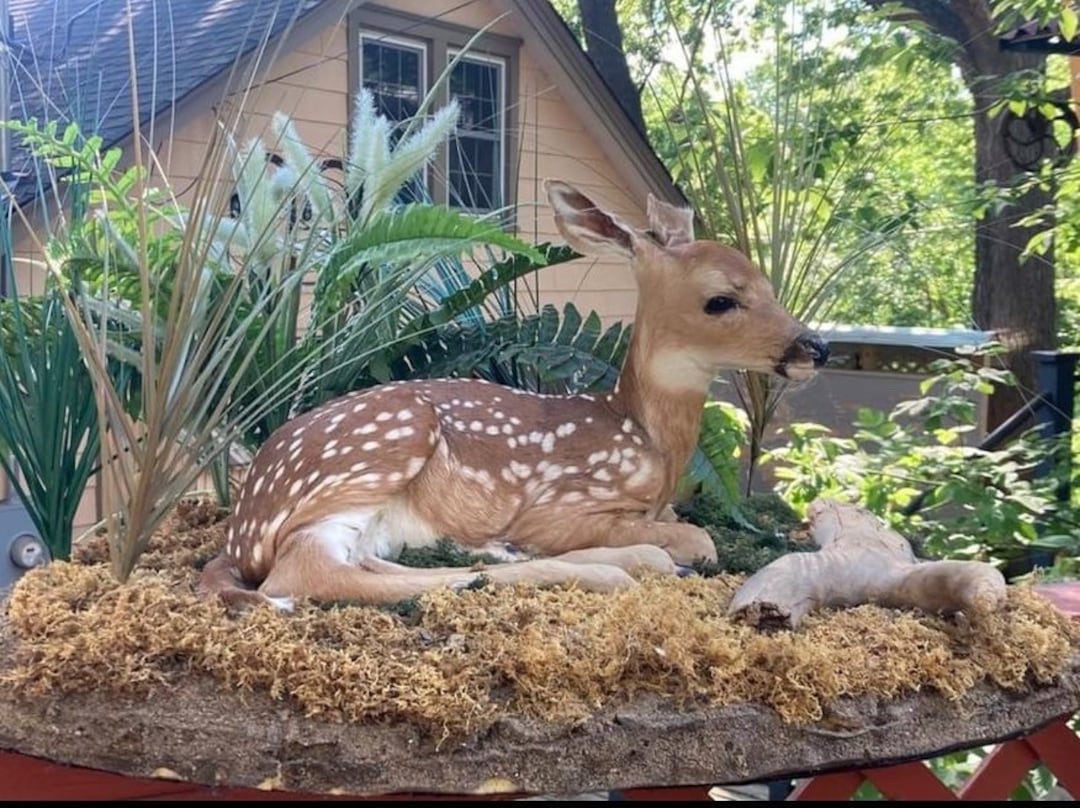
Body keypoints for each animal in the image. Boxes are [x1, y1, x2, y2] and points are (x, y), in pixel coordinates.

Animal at [198, 179, 829, 611]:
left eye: (769, 284)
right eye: (721, 300)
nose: (816, 347)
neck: (646, 440)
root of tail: (239, 531)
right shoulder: (561, 505)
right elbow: (699, 538)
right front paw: (662, 551)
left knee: (368, 563)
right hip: (382, 446)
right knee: (306, 573)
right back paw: (613, 569)